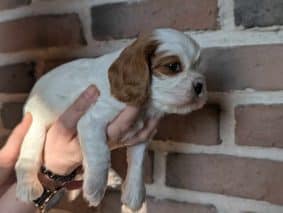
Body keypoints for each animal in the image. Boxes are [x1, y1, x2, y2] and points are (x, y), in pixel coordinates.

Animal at [15, 27, 207, 210]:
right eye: (173, 66)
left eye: (197, 66)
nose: (200, 86)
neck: (146, 106)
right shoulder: (92, 121)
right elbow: (101, 154)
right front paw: (94, 188)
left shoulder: (141, 136)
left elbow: (138, 163)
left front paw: (134, 194)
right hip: (36, 125)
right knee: (27, 157)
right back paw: (28, 187)